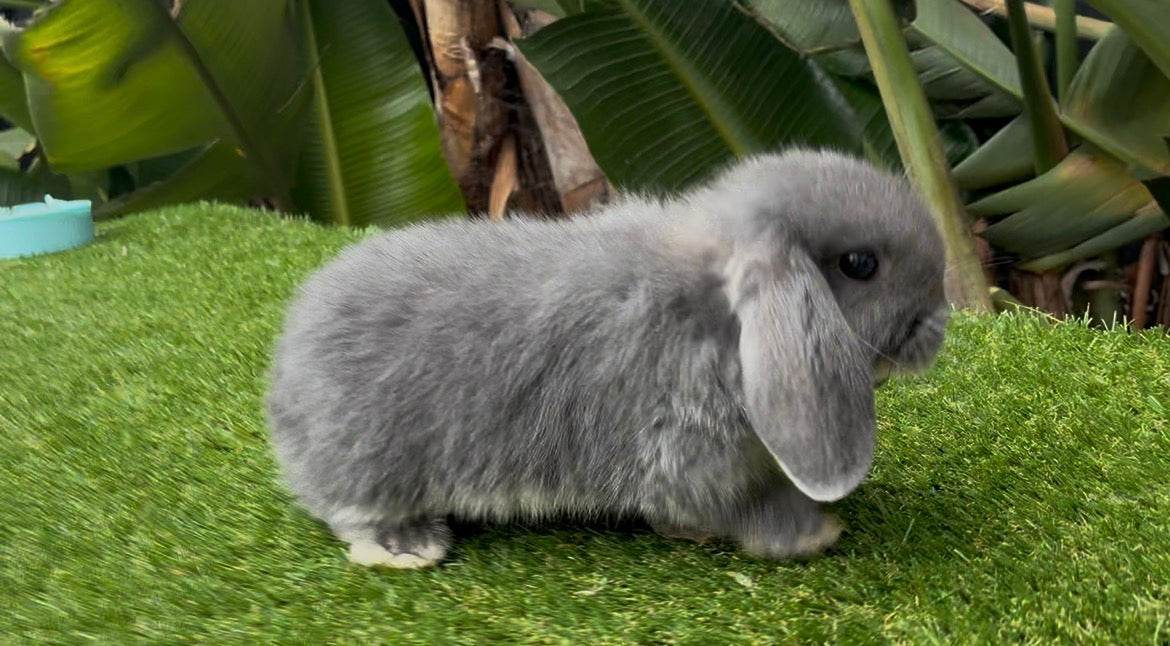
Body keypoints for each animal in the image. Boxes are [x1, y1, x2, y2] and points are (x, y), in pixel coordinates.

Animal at [265, 148, 950, 569]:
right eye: (860, 264)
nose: (940, 325)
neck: (717, 317)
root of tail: (284, 375)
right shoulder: (686, 456)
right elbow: (744, 509)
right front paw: (813, 532)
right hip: (371, 463)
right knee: (349, 511)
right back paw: (408, 545)